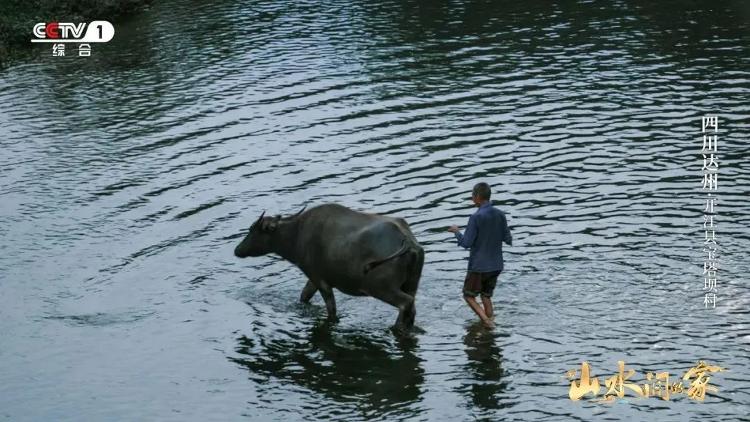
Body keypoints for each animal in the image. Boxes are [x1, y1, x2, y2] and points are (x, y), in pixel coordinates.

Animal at [232, 203, 426, 328]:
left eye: (253, 230)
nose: (237, 250)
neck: (296, 236)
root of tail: (408, 241)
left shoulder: (318, 278)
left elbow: (330, 309)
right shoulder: (313, 278)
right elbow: (304, 296)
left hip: (380, 287)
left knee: (406, 304)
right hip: (411, 283)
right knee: (412, 306)